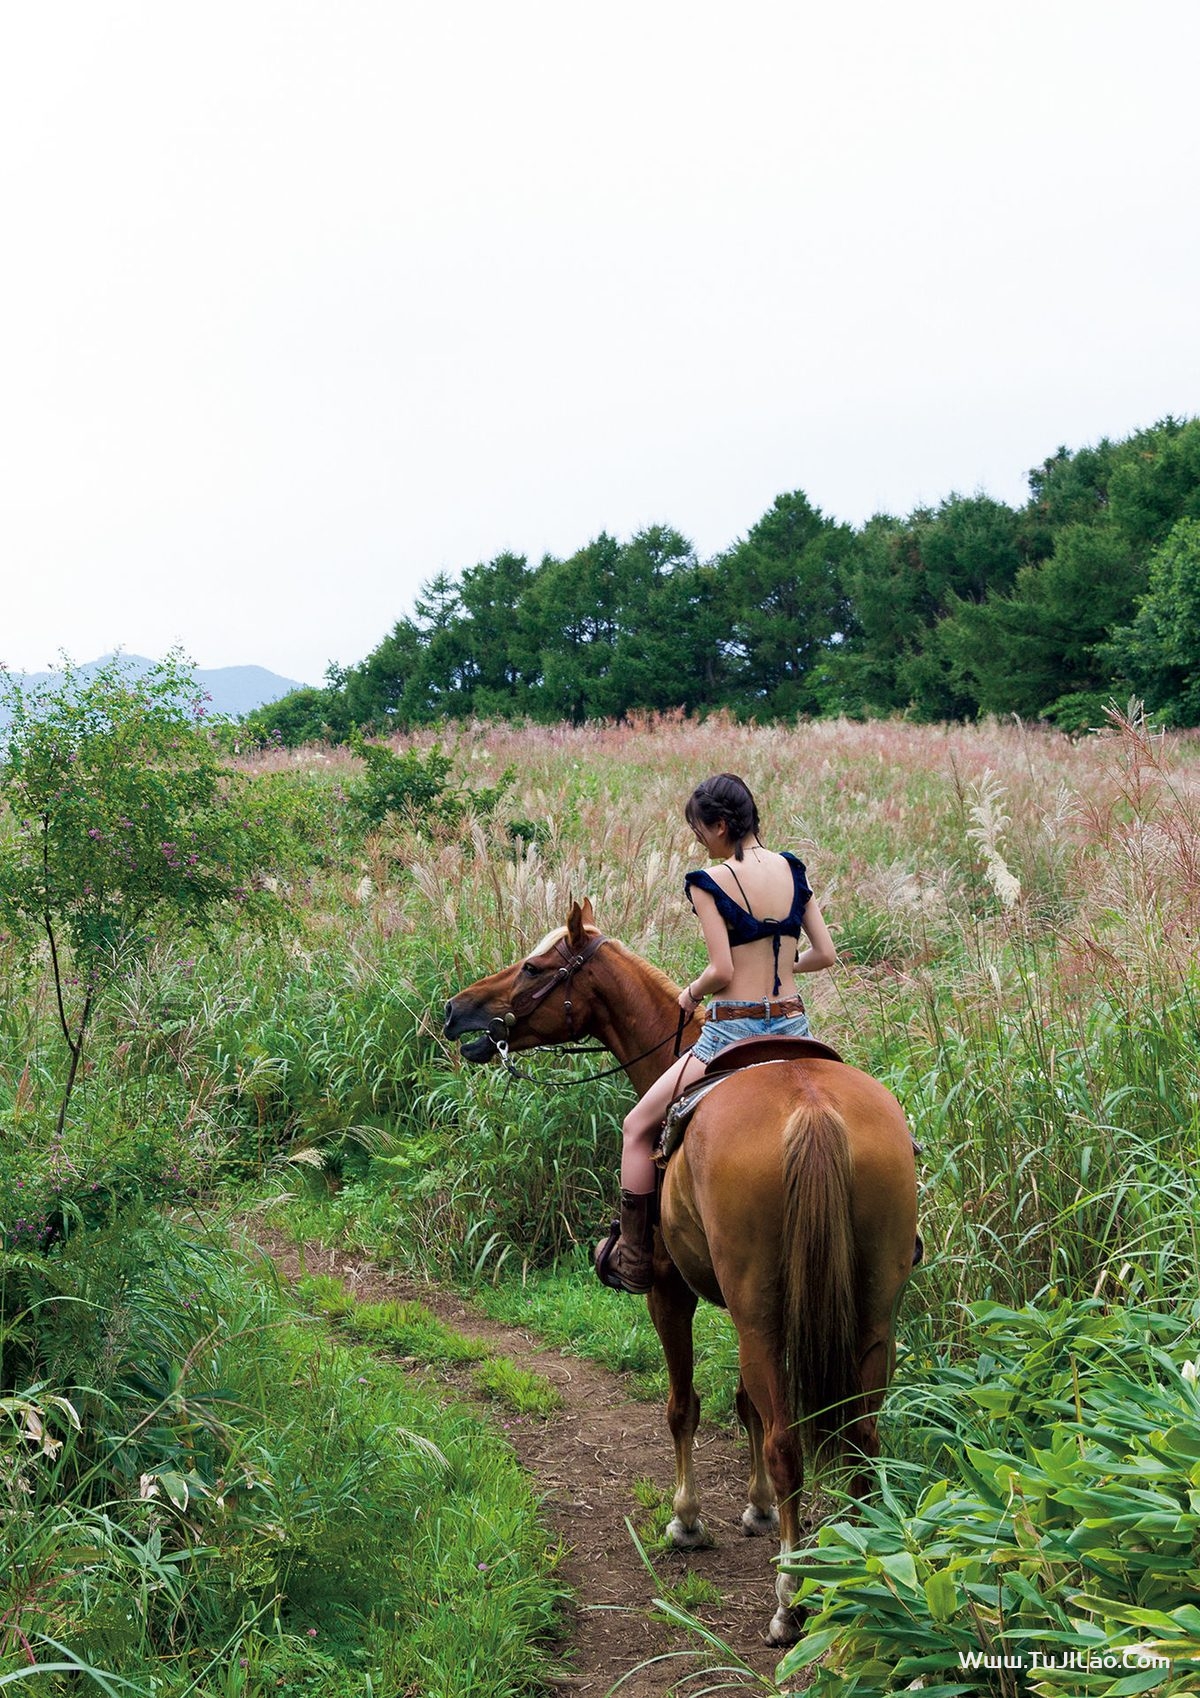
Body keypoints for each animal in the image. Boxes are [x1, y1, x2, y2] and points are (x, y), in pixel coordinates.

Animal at [444, 903, 923, 1643]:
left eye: (533, 966)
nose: (454, 1010)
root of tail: (813, 1110)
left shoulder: (673, 1293)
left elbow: (684, 1405)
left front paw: (688, 1520)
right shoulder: (741, 1305)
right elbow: (745, 1404)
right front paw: (756, 1508)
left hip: (760, 1312)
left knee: (790, 1444)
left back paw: (790, 1600)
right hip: (865, 1318)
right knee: (860, 1438)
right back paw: (860, 1571)